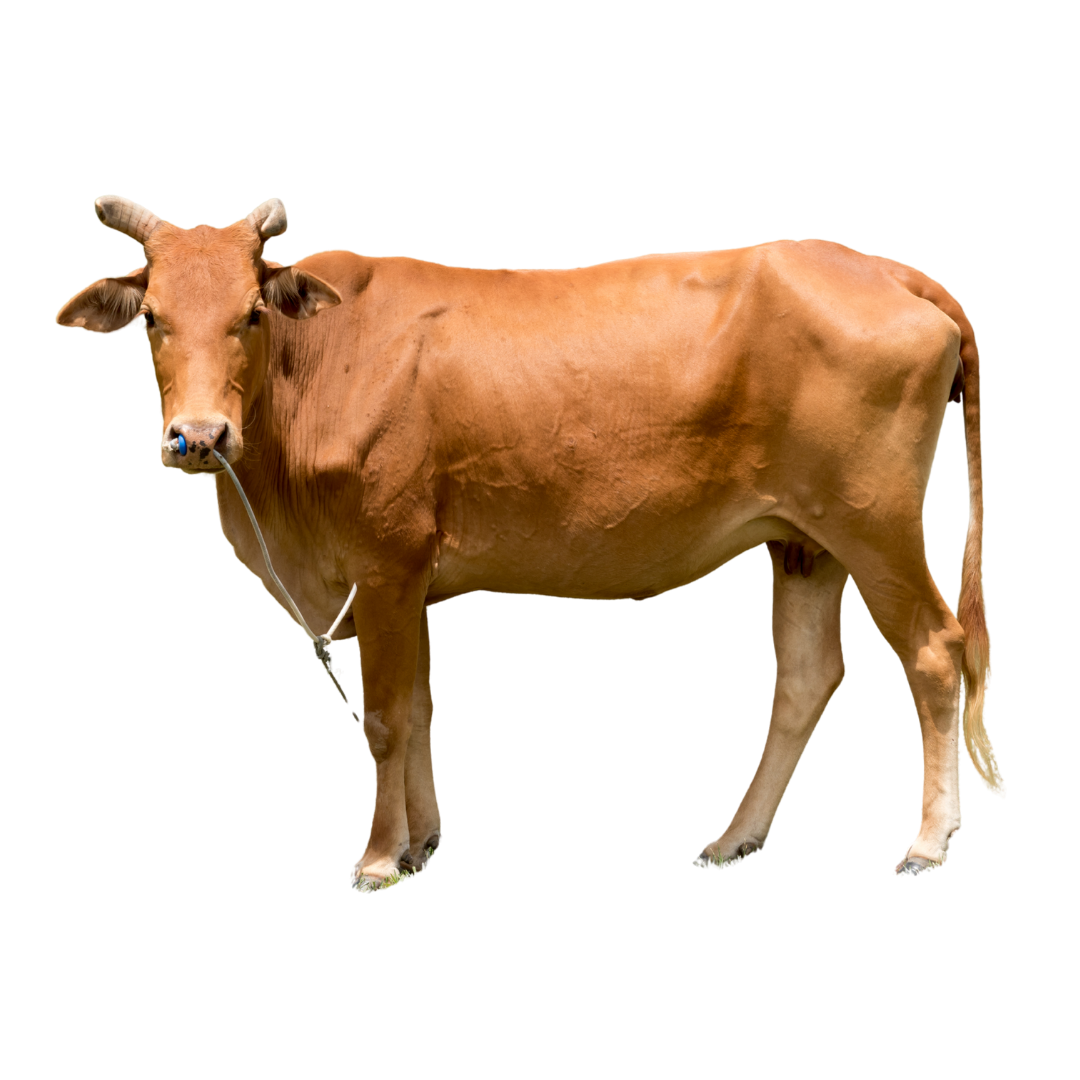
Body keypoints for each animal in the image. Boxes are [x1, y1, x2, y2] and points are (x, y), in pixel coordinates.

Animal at [56, 195, 1004, 891]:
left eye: (252, 314)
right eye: (150, 318)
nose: (199, 436)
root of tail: (877, 265)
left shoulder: (386, 563)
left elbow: (385, 719)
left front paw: (379, 857)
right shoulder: (411, 579)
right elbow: (423, 709)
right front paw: (424, 842)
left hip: (875, 524)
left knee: (933, 651)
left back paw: (927, 842)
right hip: (804, 539)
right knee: (808, 676)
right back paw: (735, 838)